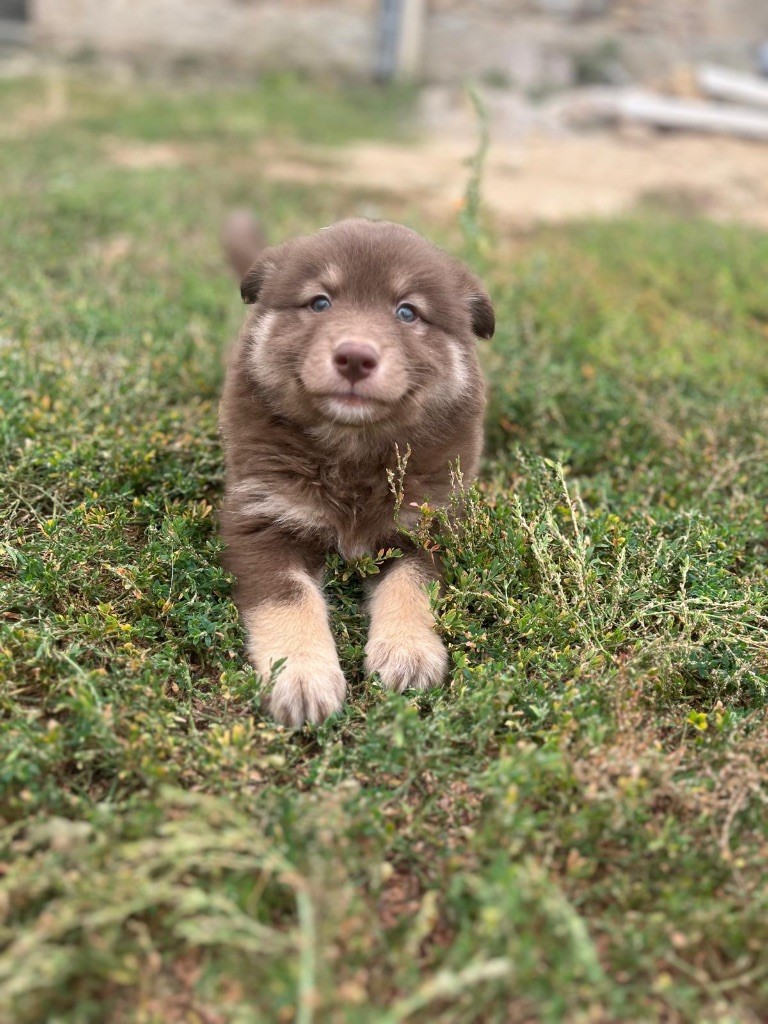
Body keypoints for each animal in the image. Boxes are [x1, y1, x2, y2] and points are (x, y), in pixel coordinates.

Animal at [219, 217, 494, 727]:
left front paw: (408, 654)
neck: (353, 453)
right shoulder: (263, 517)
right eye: (320, 302)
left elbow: (411, 587)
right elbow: (289, 598)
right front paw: (301, 676)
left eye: (407, 313)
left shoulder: (430, 523)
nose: (354, 357)